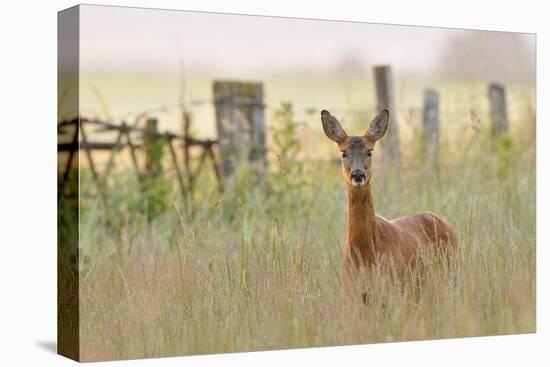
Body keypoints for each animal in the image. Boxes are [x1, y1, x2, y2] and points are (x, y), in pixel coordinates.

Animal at [322, 108, 460, 300]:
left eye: (370, 151)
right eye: (343, 152)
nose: (358, 174)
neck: (365, 255)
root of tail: (447, 224)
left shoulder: (392, 287)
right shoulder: (350, 292)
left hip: (450, 271)